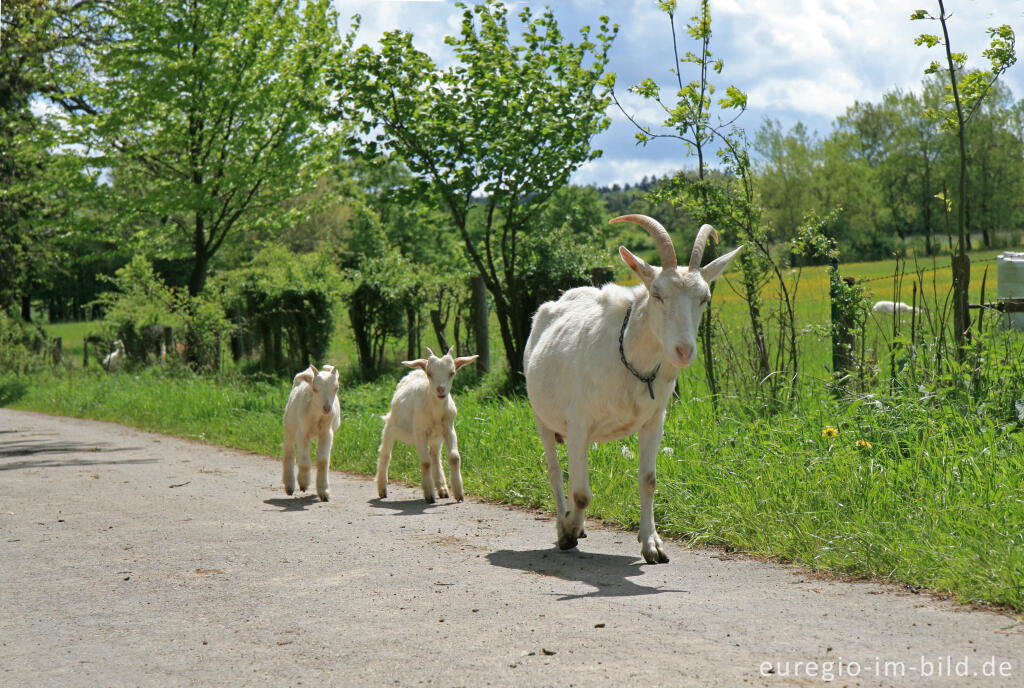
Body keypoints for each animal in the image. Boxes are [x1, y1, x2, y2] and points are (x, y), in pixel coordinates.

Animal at [524, 215, 741, 565]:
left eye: (704, 298)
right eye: (657, 293)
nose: (684, 351)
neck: (627, 355)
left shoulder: (654, 420)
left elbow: (648, 480)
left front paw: (652, 544)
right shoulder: (579, 421)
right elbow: (582, 494)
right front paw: (569, 530)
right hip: (542, 416)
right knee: (556, 471)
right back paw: (564, 523)